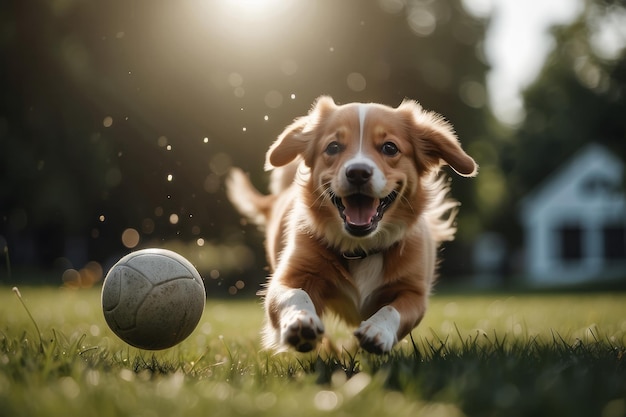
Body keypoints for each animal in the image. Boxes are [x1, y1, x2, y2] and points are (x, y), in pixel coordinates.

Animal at [227, 96, 476, 352]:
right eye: (333, 147)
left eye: (390, 148)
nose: (357, 172)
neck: (361, 247)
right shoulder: (289, 276)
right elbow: (293, 295)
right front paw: (300, 322)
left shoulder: (414, 293)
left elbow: (393, 310)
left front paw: (377, 330)